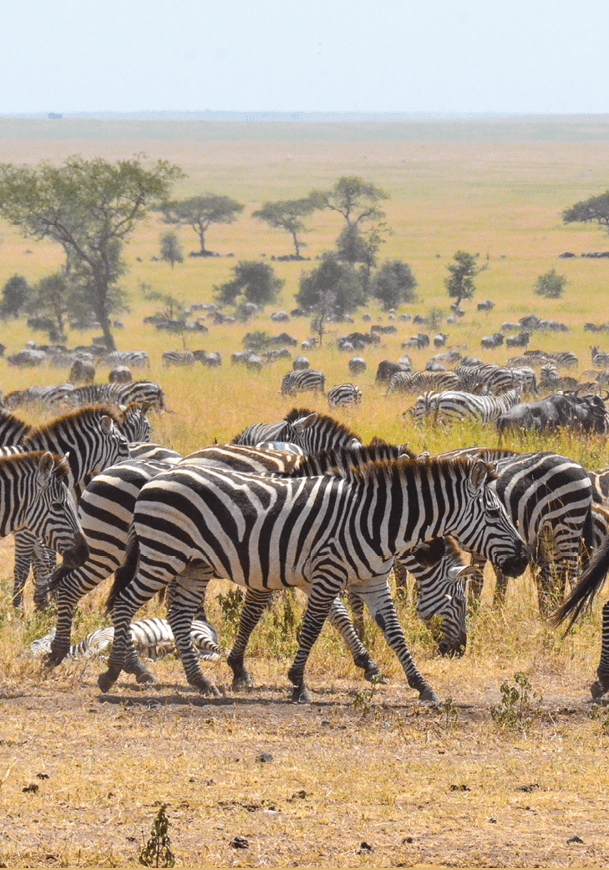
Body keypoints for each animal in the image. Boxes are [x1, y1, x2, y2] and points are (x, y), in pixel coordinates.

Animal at [98, 454, 527, 702]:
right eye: (494, 513)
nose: (522, 560)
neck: (380, 524)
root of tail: (154, 481)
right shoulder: (324, 572)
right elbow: (313, 627)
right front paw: (297, 683)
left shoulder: (370, 581)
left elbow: (392, 632)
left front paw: (419, 684)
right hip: (162, 554)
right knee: (125, 603)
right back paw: (117, 671)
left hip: (192, 564)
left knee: (179, 614)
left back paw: (201, 682)